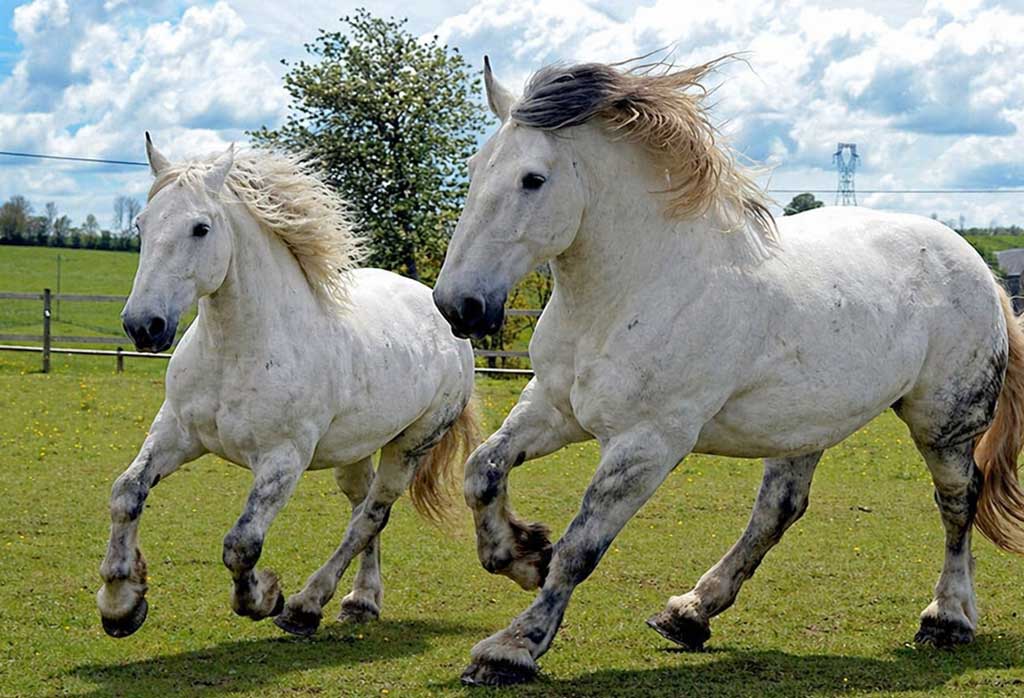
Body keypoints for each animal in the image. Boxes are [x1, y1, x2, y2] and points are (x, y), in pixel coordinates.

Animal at [96, 135, 478, 639]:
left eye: (200, 228)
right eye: (141, 223)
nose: (144, 325)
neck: (236, 352)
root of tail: (442, 315)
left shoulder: (283, 459)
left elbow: (242, 543)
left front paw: (264, 598)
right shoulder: (176, 432)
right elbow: (126, 493)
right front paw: (120, 604)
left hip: (412, 444)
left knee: (371, 516)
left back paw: (306, 605)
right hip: (354, 450)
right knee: (362, 510)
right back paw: (361, 601)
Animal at [432, 56, 1024, 686]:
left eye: (533, 180)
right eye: (474, 168)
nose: (459, 306)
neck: (639, 287)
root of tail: (976, 264)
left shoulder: (647, 443)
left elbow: (580, 547)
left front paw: (512, 646)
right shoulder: (552, 406)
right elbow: (481, 471)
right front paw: (520, 555)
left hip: (941, 423)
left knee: (958, 500)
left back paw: (948, 618)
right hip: (803, 426)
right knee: (779, 510)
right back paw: (690, 612)